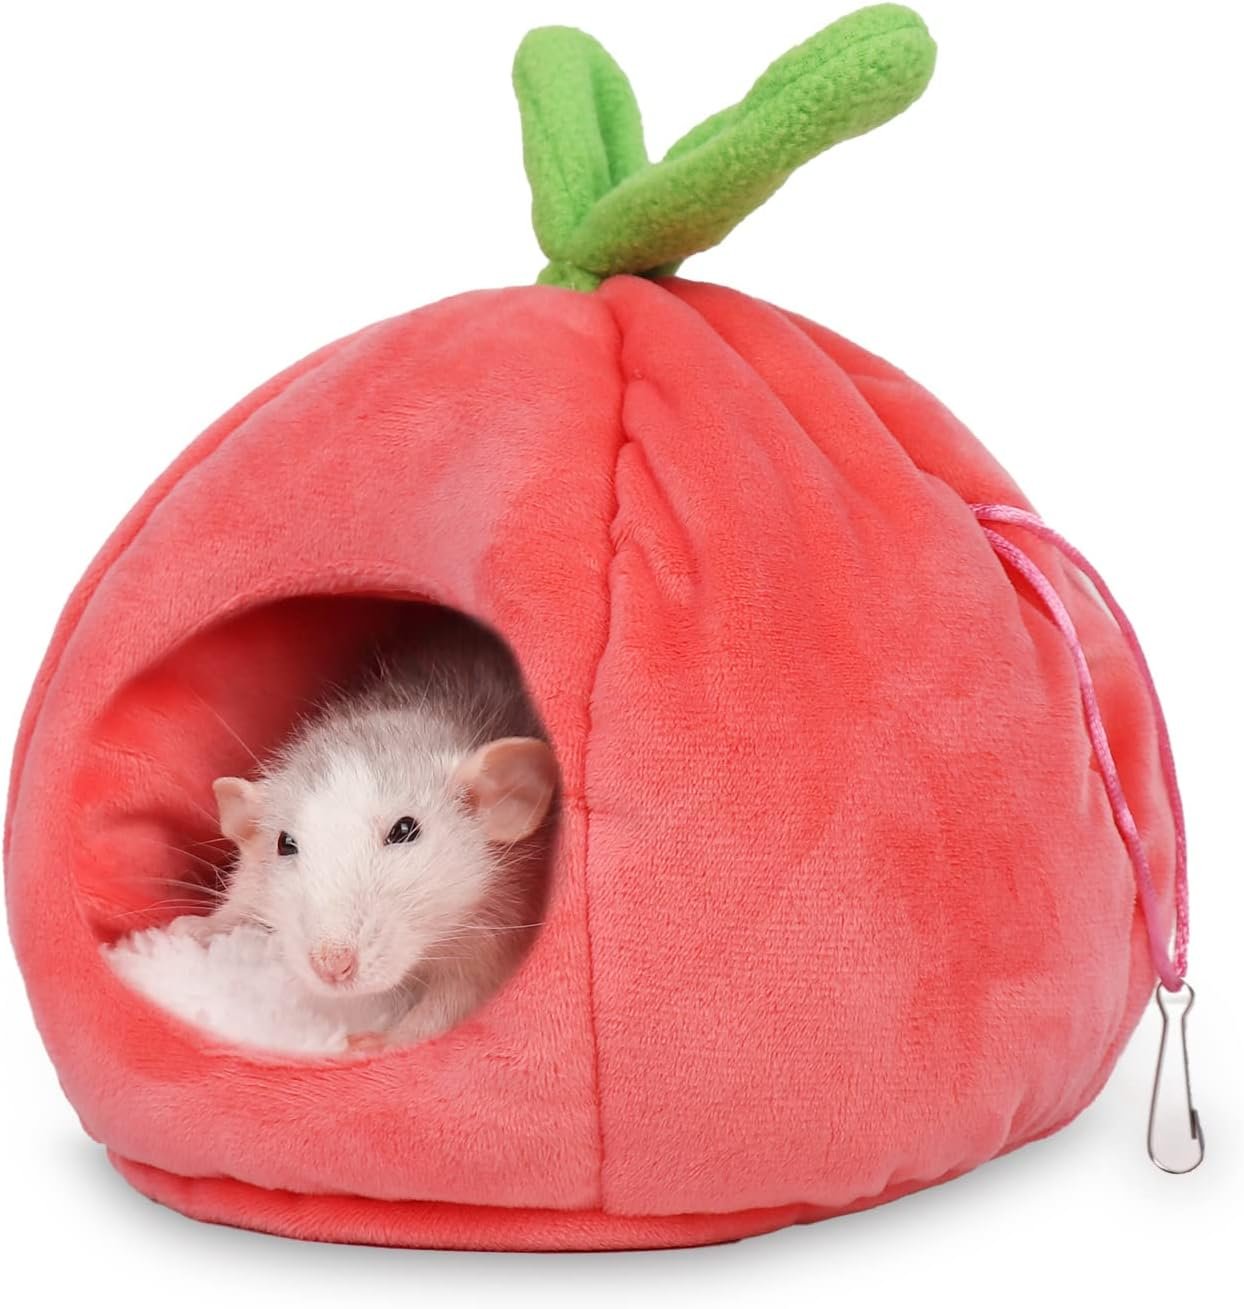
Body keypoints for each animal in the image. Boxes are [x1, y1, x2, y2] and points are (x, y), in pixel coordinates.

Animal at [170, 607, 558, 1053]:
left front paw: (389, 1041)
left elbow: (464, 993)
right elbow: (246, 887)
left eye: (405, 829)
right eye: (286, 843)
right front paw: (207, 926)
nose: (332, 964)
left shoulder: (507, 906)